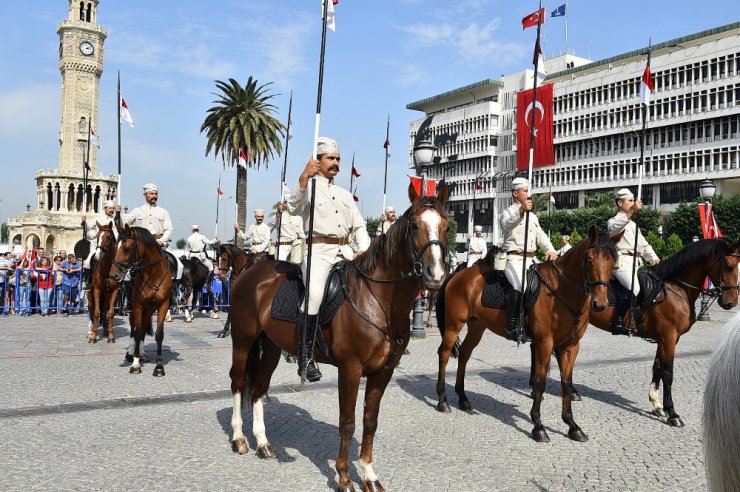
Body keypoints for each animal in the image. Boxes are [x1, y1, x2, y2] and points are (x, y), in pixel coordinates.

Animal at [109, 227, 173, 376]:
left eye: (126, 248)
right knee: (134, 330)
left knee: (143, 327)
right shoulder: (138, 307)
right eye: (116, 247)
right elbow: (137, 334)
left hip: (149, 310)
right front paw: (135, 364)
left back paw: (142, 354)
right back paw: (131, 354)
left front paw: (159, 366)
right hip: (135, 310)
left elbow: (158, 334)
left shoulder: (163, 305)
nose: (113, 275)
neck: (153, 274)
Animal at [228, 183, 448, 490]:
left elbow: (370, 421)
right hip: (243, 340)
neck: (378, 300)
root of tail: (251, 271)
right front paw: (344, 476)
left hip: (271, 347)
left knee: (258, 386)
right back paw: (239, 439)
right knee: (238, 382)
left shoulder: (383, 372)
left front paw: (369, 475)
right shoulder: (350, 369)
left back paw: (263, 443)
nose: (435, 274)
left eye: (446, 226)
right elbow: (348, 421)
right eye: (415, 225)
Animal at [434, 229, 620, 444]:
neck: (561, 292)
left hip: (477, 326)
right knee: (444, 354)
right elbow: (540, 382)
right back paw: (443, 401)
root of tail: (458, 273)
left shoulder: (571, 346)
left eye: (614, 262)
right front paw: (538, 427)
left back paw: (463, 398)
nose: (600, 304)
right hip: (453, 325)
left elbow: (566, 383)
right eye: (590, 260)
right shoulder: (544, 343)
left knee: (464, 354)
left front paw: (572, 426)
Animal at [568, 238, 736, 426]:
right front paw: (673, 413)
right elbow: (668, 373)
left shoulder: (666, 339)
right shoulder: (668, 338)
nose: (732, 302)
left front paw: (657, 404)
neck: (677, 290)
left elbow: (657, 367)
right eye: (730, 266)